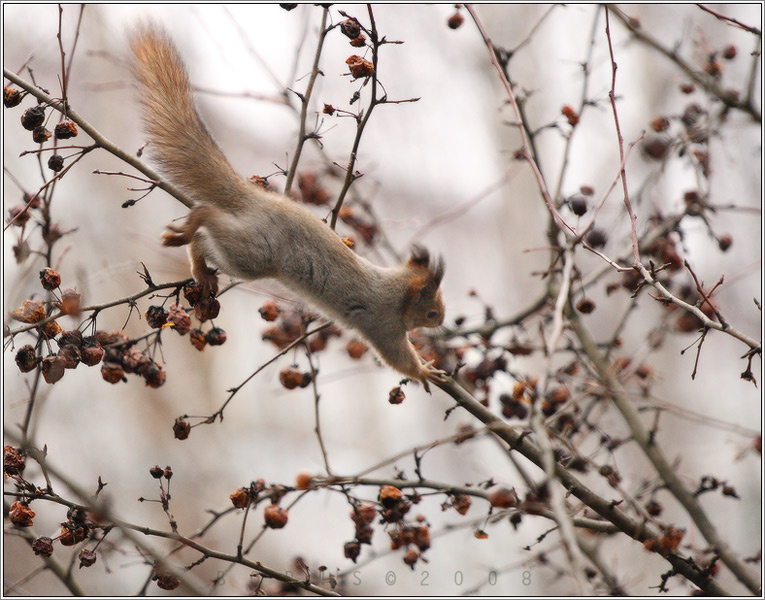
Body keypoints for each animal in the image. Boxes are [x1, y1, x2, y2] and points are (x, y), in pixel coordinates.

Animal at [130, 25, 447, 391]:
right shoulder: (383, 325)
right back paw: (191, 225)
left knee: (205, 241)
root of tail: (255, 199)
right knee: (207, 217)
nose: (442, 321)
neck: (397, 291)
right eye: (431, 312)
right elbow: (397, 357)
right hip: (252, 254)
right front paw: (424, 371)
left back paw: (200, 267)